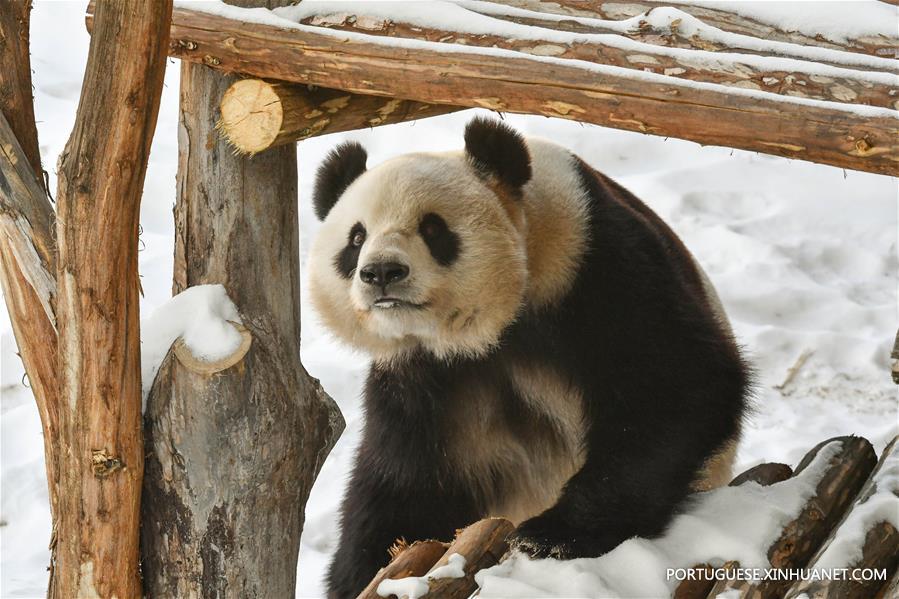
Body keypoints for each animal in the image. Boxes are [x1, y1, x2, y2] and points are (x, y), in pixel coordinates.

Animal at [310, 117, 752, 599]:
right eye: (356, 237)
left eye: (433, 228)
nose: (382, 273)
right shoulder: (421, 374)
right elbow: (408, 480)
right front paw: (367, 570)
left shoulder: (595, 266)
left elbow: (675, 387)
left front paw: (553, 536)